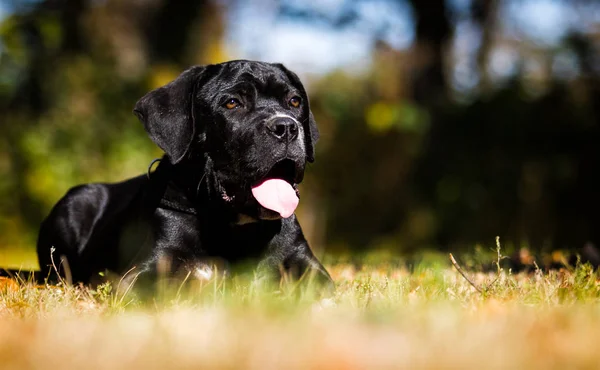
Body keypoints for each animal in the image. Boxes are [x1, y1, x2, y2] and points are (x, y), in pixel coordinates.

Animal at [34, 60, 332, 290]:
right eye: (232, 103)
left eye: (294, 101)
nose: (286, 126)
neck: (232, 225)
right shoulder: (147, 269)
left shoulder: (306, 263)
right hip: (75, 201)